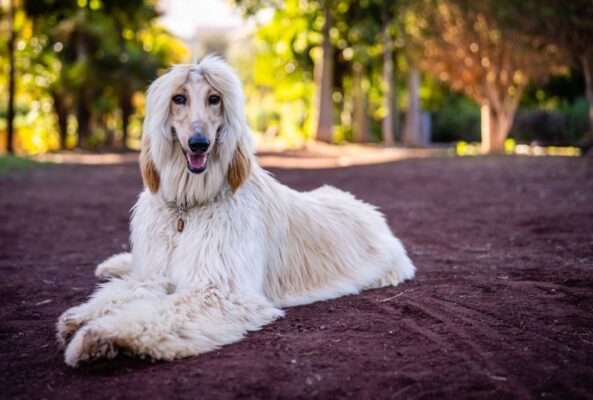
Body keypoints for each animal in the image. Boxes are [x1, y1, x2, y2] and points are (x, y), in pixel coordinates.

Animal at [57, 55, 414, 366]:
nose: (199, 143)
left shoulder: (219, 290)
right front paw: (83, 315)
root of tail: (370, 210)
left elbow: (160, 311)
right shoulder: (157, 271)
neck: (188, 207)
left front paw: (98, 335)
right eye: (178, 98)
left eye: (214, 98)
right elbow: (129, 289)